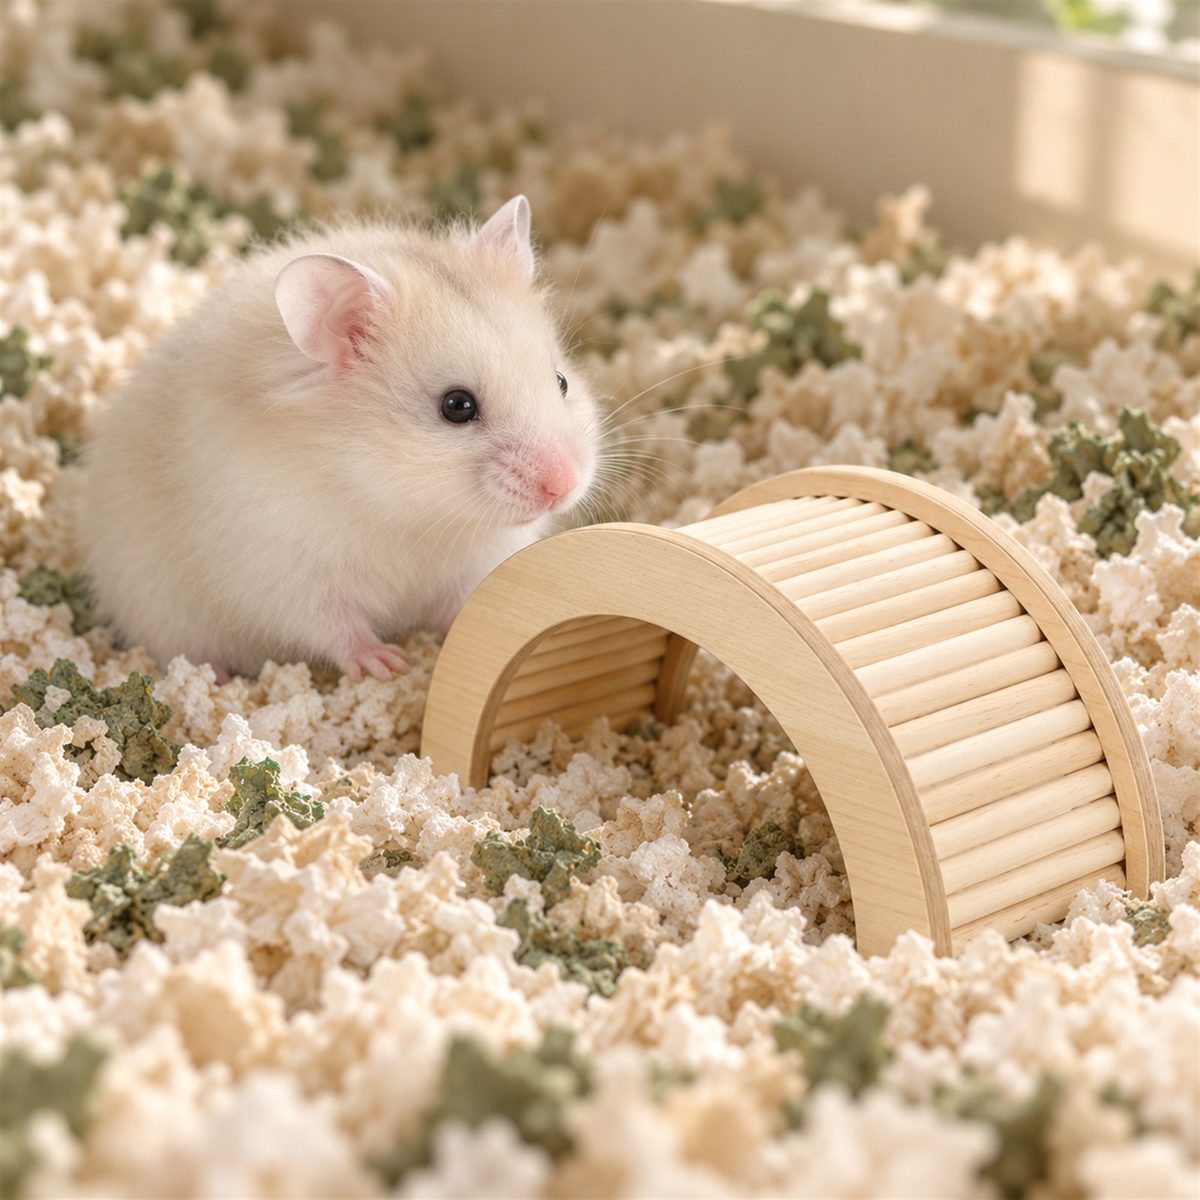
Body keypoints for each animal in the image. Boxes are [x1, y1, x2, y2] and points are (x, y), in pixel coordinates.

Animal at [78, 197, 600, 681]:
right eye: (457, 406)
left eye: (561, 381)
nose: (563, 486)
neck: (405, 511)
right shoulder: (280, 571)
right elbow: (334, 625)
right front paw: (387, 664)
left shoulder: (473, 562)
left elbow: (460, 602)